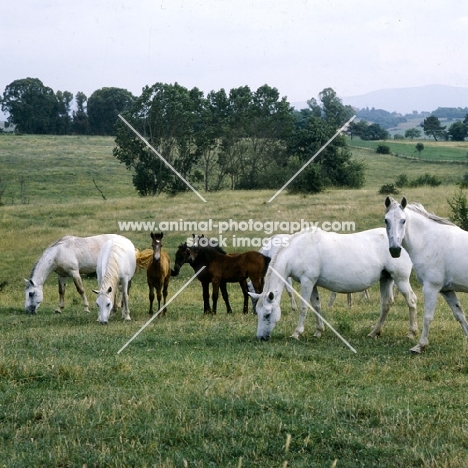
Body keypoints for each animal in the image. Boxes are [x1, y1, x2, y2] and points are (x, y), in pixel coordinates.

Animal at [386, 196, 468, 352]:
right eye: (386, 220)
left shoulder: (431, 287)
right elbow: (459, 314)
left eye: (403, 220)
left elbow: (427, 317)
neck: (429, 242)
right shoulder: (446, 290)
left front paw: (420, 346)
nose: (394, 250)